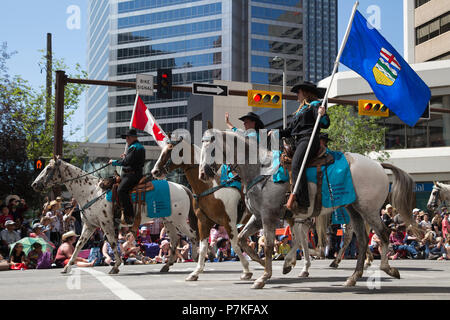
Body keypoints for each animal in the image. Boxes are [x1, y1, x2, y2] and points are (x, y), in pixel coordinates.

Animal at [32, 156, 199, 274]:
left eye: (48, 168)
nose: (34, 184)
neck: (90, 192)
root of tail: (182, 187)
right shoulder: (90, 225)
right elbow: (78, 245)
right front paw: (66, 268)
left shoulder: (106, 224)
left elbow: (112, 243)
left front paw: (115, 266)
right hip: (169, 221)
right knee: (175, 240)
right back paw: (167, 265)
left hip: (179, 220)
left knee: (193, 236)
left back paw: (197, 260)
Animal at [152, 139, 262, 282]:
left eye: (171, 150)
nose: (155, 171)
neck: (211, 190)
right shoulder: (203, 222)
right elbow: (203, 246)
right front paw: (195, 272)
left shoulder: (229, 222)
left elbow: (235, 244)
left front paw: (247, 271)